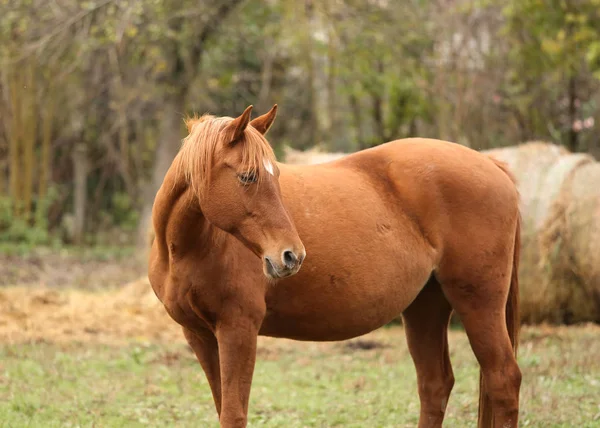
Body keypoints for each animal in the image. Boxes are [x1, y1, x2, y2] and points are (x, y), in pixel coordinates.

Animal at [149, 104, 520, 428]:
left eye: (275, 175)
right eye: (248, 176)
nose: (291, 256)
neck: (189, 248)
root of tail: (492, 163)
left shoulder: (238, 328)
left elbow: (233, 414)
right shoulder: (200, 335)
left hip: (478, 302)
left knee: (504, 379)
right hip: (424, 307)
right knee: (435, 386)